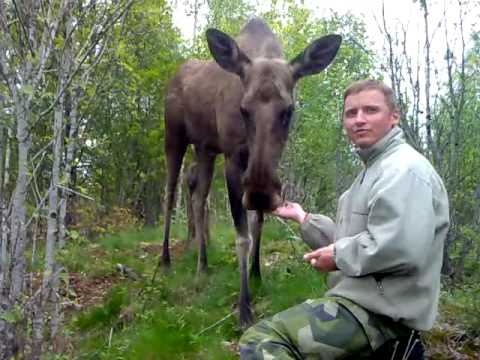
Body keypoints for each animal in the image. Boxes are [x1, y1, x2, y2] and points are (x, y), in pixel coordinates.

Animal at [161, 17, 342, 326]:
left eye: (288, 111)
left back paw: (202, 262)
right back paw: (165, 260)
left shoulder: (263, 173)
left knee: (197, 196)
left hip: (204, 148)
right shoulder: (234, 158)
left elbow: (259, 223)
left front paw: (257, 273)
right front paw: (244, 307)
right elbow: (242, 236)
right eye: (243, 109)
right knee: (171, 193)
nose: (258, 194)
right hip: (175, 137)